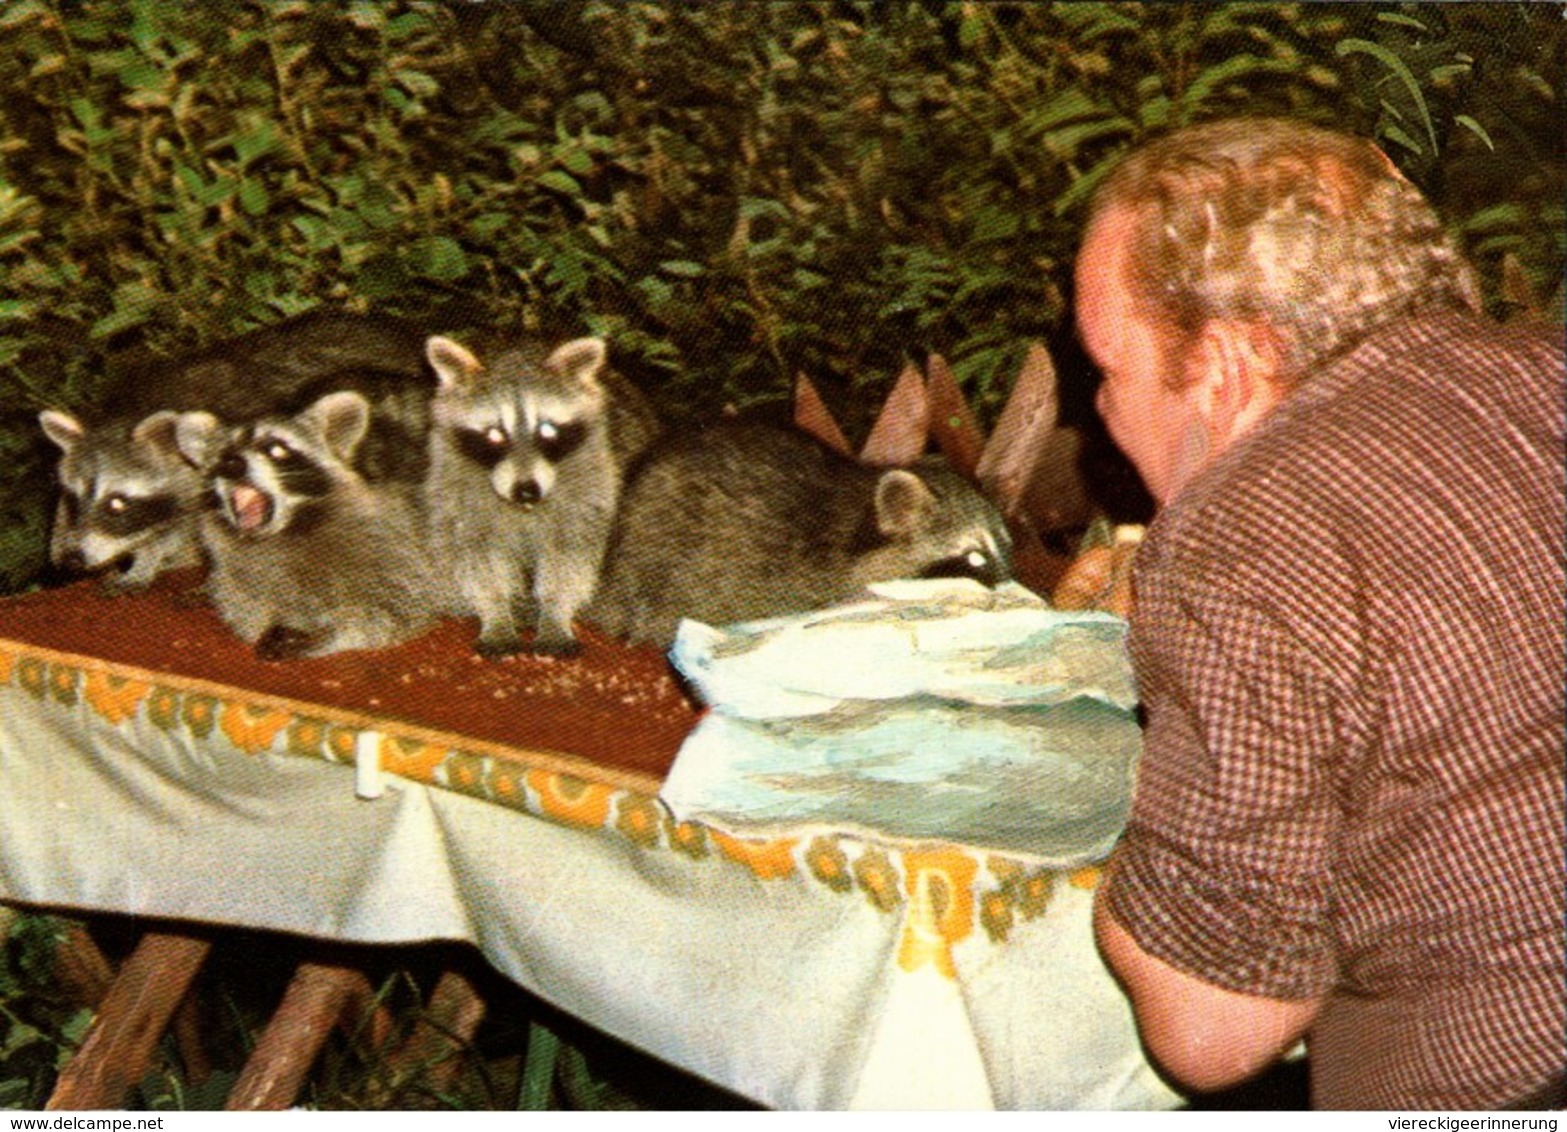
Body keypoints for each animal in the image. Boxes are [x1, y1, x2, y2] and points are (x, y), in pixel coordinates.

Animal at [39, 308, 432, 589]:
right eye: (71, 500)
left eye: (117, 503)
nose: (69, 560)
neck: (135, 410)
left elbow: (184, 531)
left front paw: (147, 561)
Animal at [170, 390, 448, 661]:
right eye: (223, 454)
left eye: (275, 449)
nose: (232, 463)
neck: (279, 533)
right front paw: (209, 590)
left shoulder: (392, 547)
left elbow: (395, 607)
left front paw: (332, 631)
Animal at [423, 330, 661, 658]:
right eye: (495, 434)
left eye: (547, 430)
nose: (526, 491)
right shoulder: (456, 483)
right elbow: (478, 556)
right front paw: (496, 612)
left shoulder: (591, 483)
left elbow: (570, 557)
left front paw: (555, 613)